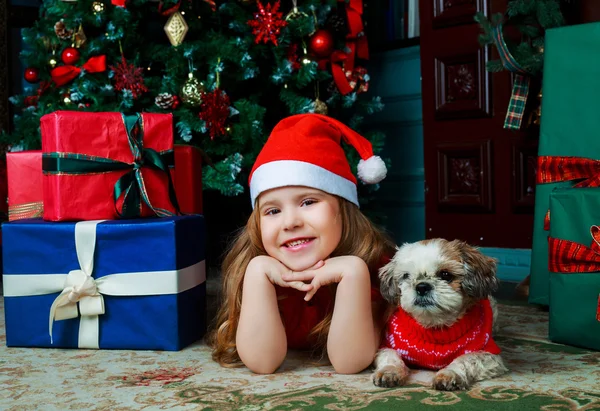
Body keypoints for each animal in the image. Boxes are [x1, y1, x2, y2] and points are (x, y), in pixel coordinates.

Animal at [372, 240, 508, 392]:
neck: (433, 326)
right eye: (406, 276)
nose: (422, 287)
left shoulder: (489, 355)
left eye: (445, 274)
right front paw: (389, 371)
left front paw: (450, 373)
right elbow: (390, 356)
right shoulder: (388, 345)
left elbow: (466, 359)